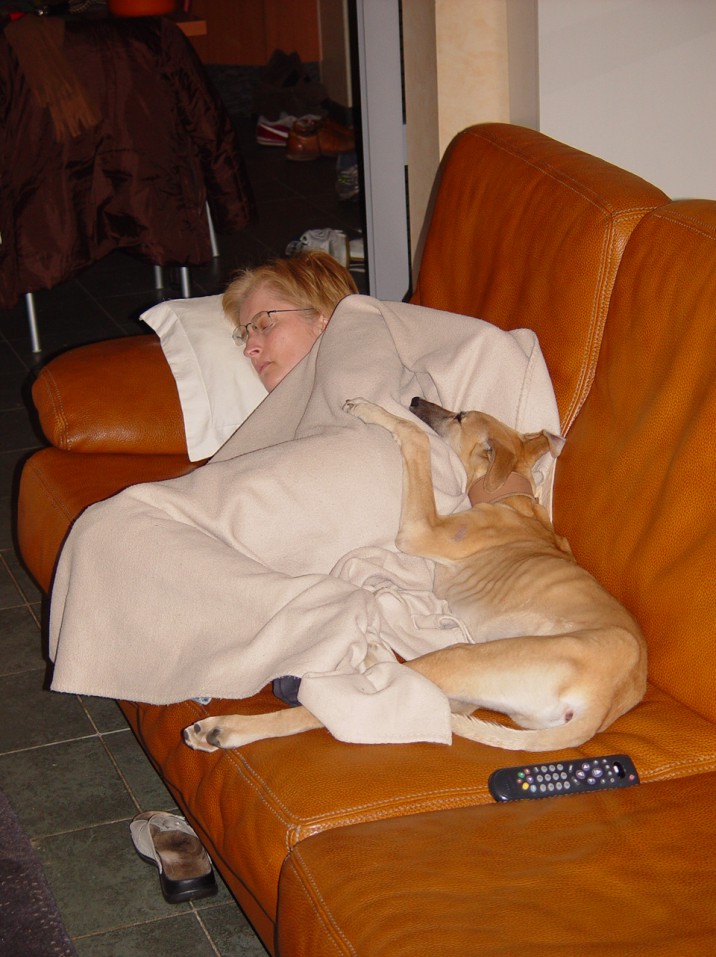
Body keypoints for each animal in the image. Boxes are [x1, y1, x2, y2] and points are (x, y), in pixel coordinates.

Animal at [184, 397, 646, 753]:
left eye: (460, 416)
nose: (415, 400)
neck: (510, 497)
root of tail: (604, 704)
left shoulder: (422, 531)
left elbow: (417, 438)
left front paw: (373, 411)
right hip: (474, 692)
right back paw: (374, 652)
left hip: (464, 657)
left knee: (353, 706)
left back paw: (223, 729)